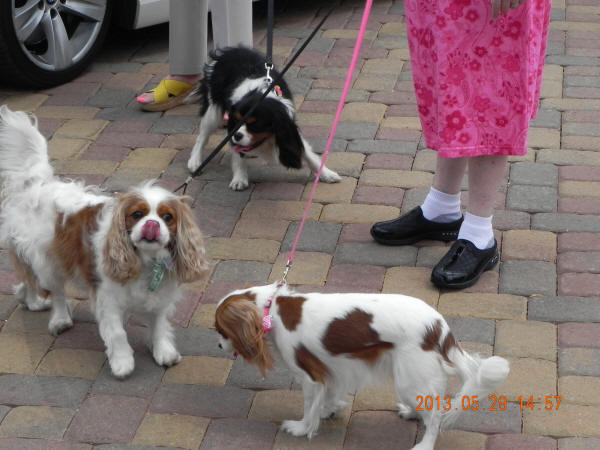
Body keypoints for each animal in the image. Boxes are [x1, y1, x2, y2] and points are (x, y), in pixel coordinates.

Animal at [0, 107, 207, 378]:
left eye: (167, 217)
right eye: (137, 215)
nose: (152, 225)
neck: (145, 261)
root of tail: (39, 185)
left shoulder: (160, 298)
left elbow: (159, 326)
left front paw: (163, 351)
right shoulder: (108, 299)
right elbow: (117, 334)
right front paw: (122, 363)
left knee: (27, 279)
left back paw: (29, 299)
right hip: (48, 261)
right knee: (55, 291)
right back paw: (58, 318)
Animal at [185, 46, 340, 191]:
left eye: (255, 125)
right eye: (237, 122)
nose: (237, 135)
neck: (261, 93)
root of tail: (229, 51)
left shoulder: (290, 126)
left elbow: (309, 155)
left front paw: (327, 174)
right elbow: (237, 154)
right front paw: (239, 178)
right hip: (213, 112)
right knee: (202, 137)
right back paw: (195, 161)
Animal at [213, 284, 508, 448]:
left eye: (220, 331)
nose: (217, 345)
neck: (271, 309)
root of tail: (439, 327)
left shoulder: (309, 376)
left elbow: (309, 406)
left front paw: (301, 428)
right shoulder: (331, 368)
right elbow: (329, 395)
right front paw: (329, 411)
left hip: (410, 377)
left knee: (435, 416)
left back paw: (425, 444)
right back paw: (411, 413)